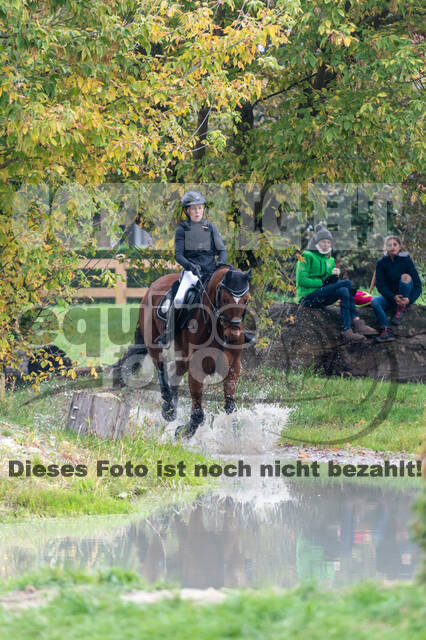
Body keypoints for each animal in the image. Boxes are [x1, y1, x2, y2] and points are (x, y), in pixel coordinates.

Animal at [116, 267, 252, 439]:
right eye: (225, 300)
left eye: (246, 300)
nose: (233, 337)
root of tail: (154, 284)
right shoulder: (197, 367)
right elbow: (198, 413)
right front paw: (184, 431)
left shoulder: (234, 365)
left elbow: (230, 406)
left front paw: (236, 438)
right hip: (154, 343)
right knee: (161, 368)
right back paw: (168, 409)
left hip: (182, 354)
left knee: (176, 373)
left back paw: (171, 407)